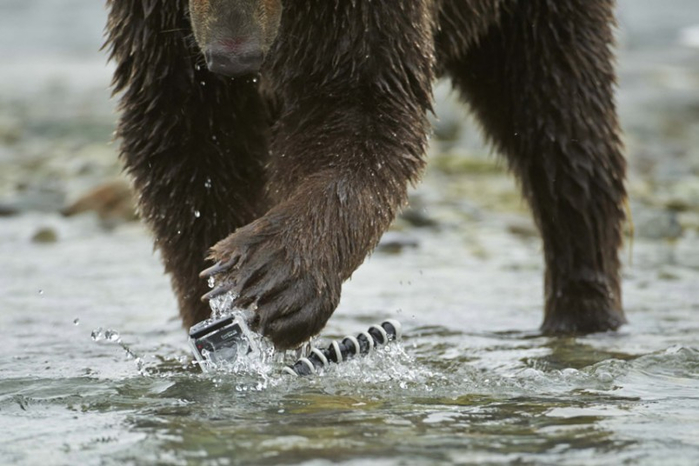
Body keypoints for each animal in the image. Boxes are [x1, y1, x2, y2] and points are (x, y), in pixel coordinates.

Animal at [105, 0, 628, 350]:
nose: (235, 58)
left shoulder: (365, 18)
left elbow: (359, 114)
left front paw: (271, 278)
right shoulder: (161, 31)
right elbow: (187, 140)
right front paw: (214, 294)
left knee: (559, 117)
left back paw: (583, 309)